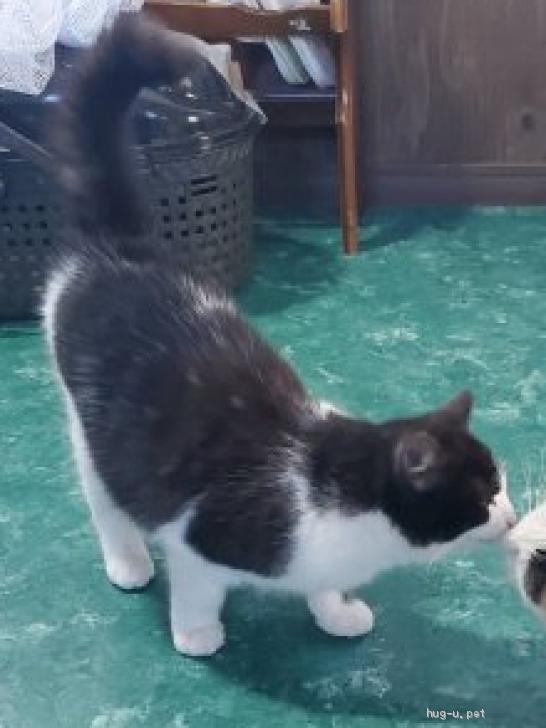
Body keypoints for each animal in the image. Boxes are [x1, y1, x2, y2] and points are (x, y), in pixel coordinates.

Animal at [43, 14, 517, 657]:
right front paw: (196, 633)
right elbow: (197, 587)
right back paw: (128, 563)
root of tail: (120, 250)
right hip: (89, 425)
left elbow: (320, 585)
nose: (513, 515)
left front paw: (335, 611)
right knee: (104, 496)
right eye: (482, 493)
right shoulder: (203, 536)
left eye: (500, 482)